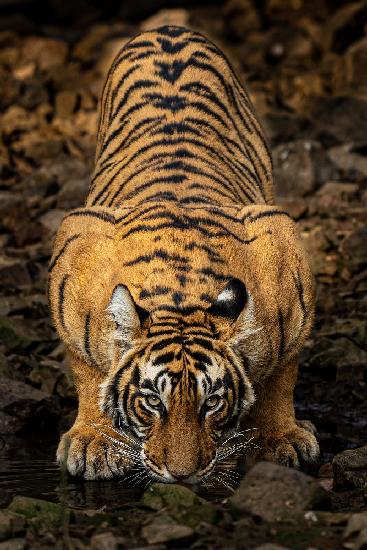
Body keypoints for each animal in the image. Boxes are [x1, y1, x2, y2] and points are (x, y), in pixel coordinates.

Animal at [49, 24, 320, 484]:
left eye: (211, 402)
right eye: (152, 402)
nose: (181, 474)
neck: (181, 293)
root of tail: (169, 29)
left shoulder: (287, 262)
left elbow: (281, 379)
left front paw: (279, 438)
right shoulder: (74, 252)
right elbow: (88, 370)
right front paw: (95, 440)